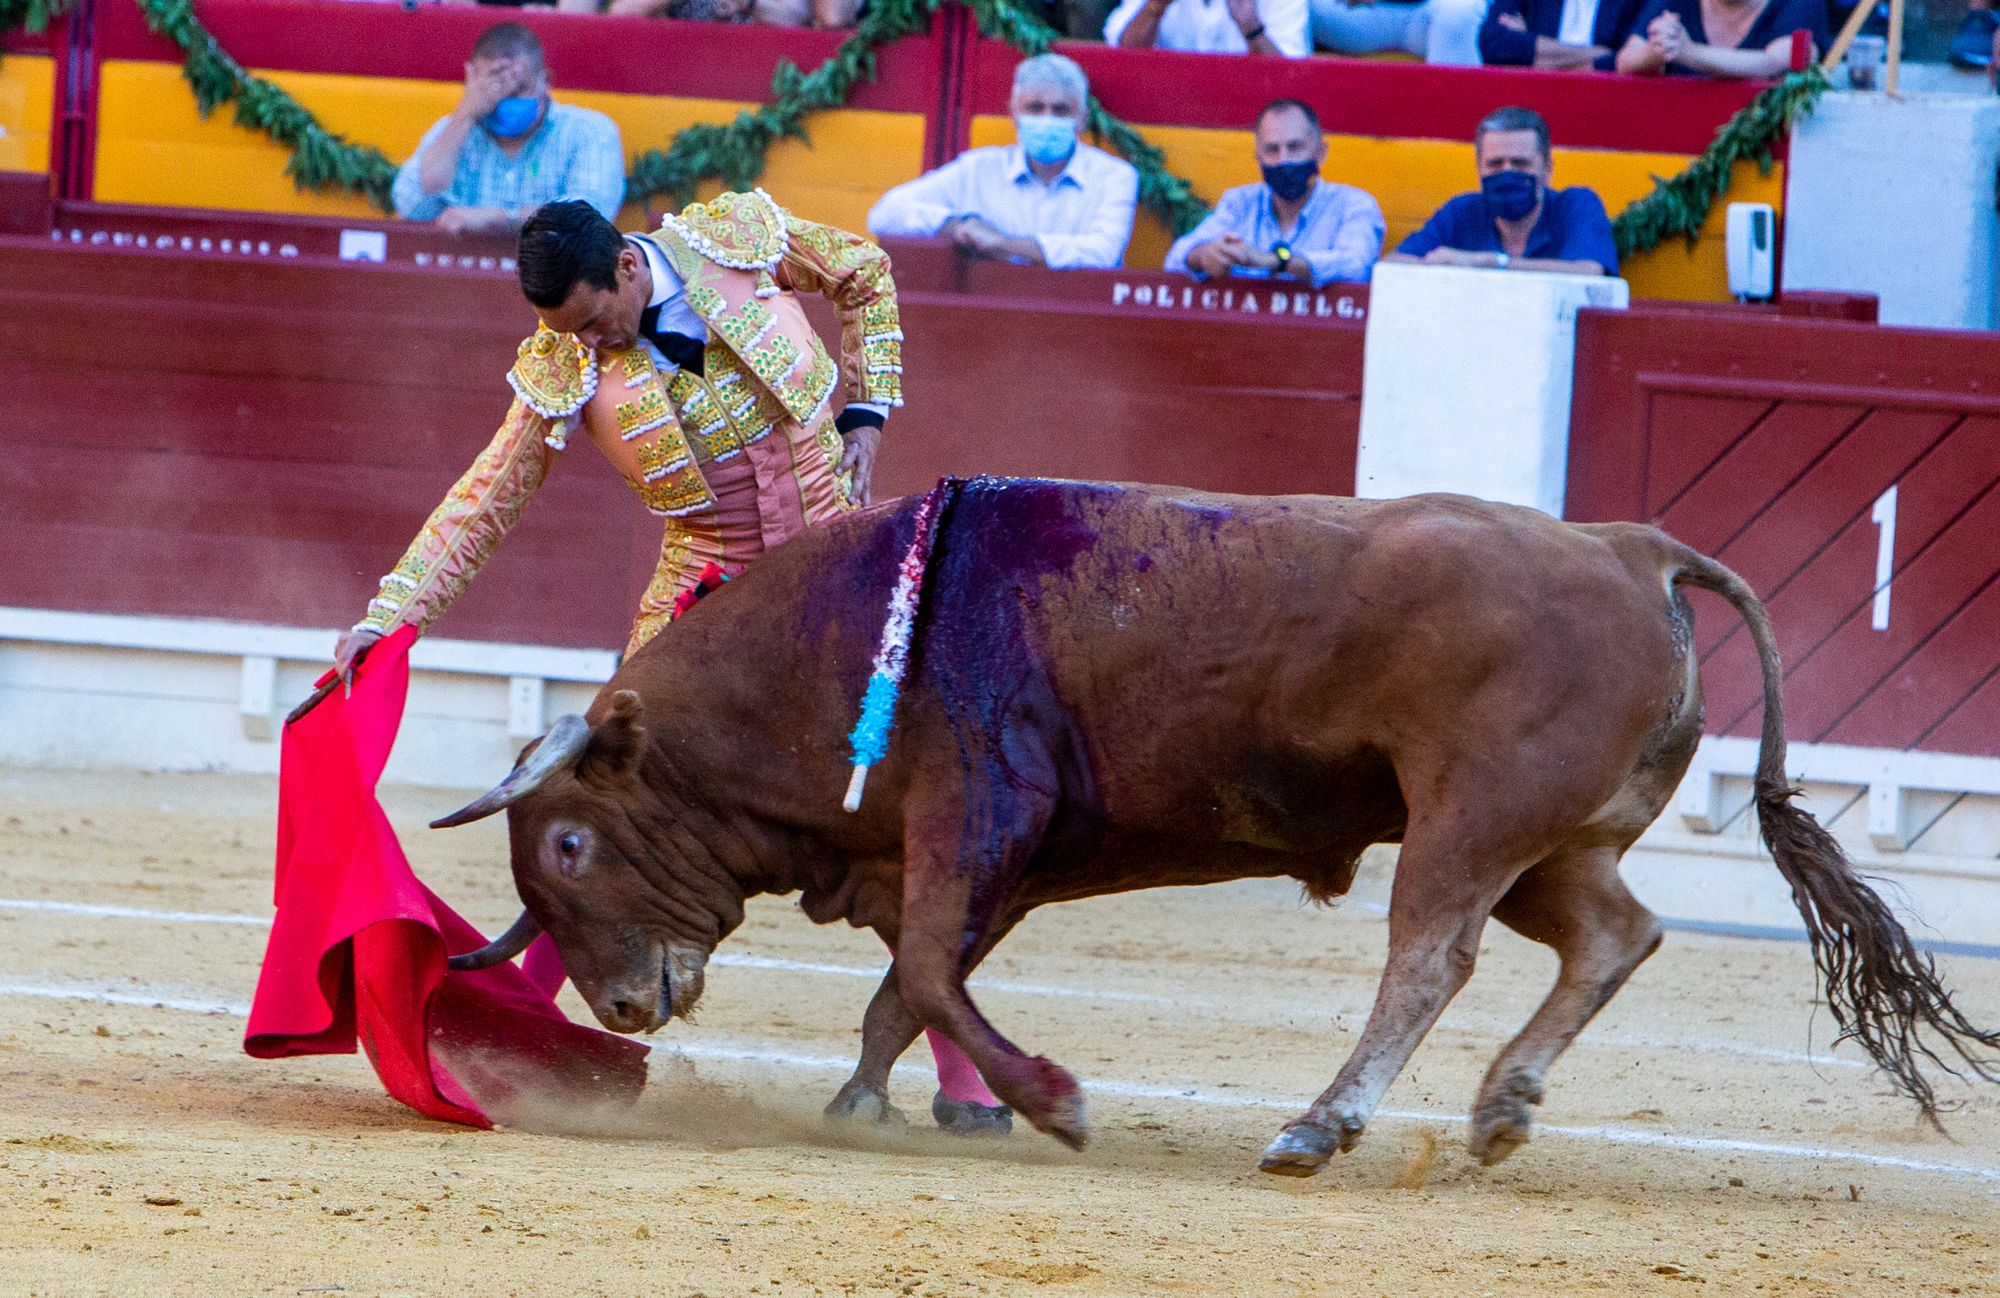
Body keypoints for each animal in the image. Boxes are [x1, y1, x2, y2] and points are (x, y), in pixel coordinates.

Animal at [442, 478, 2000, 1176]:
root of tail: (1630, 546)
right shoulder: (978, 856)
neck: (855, 636)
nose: (621, 1006)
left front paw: (1053, 1102)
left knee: (1429, 957)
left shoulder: (976, 814)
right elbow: (908, 984)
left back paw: (1320, 1124)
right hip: (1551, 845)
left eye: (569, 844)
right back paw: (1499, 1107)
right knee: (1616, 932)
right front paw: (864, 1102)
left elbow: (931, 969)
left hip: (1467, 823)